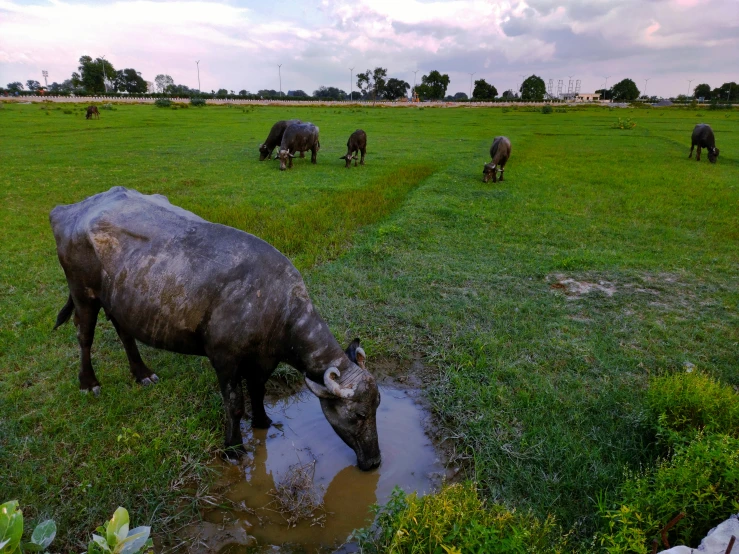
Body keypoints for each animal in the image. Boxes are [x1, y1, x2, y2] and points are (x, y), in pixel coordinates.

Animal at [49, 185, 382, 466]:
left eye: (377, 405)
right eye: (359, 414)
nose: (374, 461)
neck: (275, 306)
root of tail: (68, 211)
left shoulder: (264, 359)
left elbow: (258, 390)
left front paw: (262, 422)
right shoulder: (224, 359)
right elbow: (234, 404)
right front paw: (233, 447)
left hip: (120, 301)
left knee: (124, 331)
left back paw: (142, 373)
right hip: (83, 293)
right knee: (84, 334)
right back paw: (88, 382)